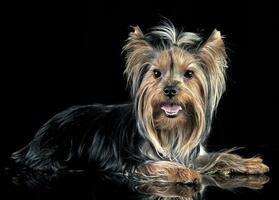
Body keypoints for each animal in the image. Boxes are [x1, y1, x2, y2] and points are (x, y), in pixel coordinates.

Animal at [12, 21, 270, 184]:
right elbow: (156, 165)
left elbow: (218, 156)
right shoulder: (134, 161)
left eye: (189, 74)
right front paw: (184, 173)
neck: (170, 131)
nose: (170, 89)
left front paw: (250, 164)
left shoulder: (191, 154)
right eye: (156, 73)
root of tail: (35, 138)